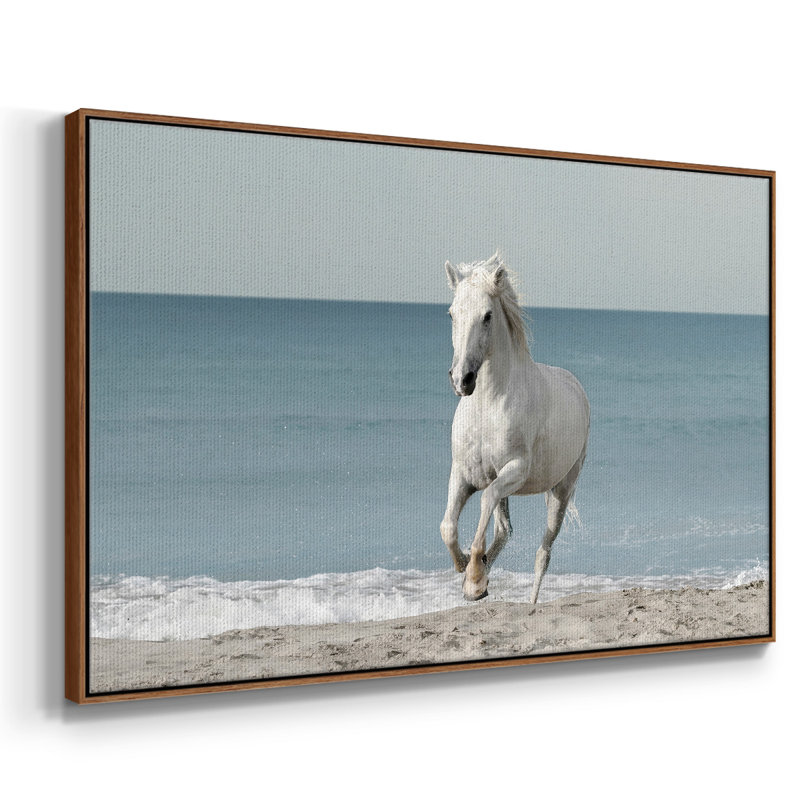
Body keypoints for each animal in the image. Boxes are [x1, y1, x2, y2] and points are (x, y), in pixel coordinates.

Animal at [440, 253, 590, 603]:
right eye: (452, 313)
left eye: (487, 316)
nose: (462, 379)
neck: (487, 406)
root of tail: (575, 385)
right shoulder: (463, 473)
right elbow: (448, 526)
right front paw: (468, 571)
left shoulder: (515, 471)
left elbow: (485, 500)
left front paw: (474, 575)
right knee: (504, 529)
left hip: (561, 492)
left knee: (543, 552)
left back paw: (530, 602)